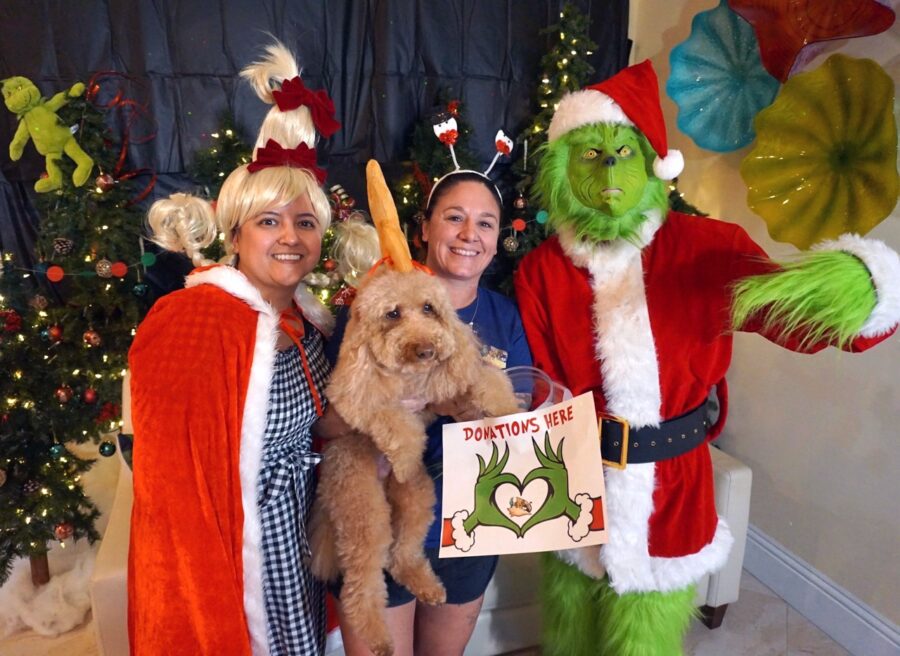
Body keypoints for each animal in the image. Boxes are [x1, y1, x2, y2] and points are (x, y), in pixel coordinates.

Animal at [310, 266, 520, 656]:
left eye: (428, 308)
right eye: (392, 314)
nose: (426, 349)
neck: (411, 376)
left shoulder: (449, 386)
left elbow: (486, 379)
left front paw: (508, 410)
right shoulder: (356, 398)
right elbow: (394, 420)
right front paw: (406, 456)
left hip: (419, 498)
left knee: (402, 552)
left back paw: (425, 583)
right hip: (364, 510)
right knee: (361, 584)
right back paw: (378, 637)